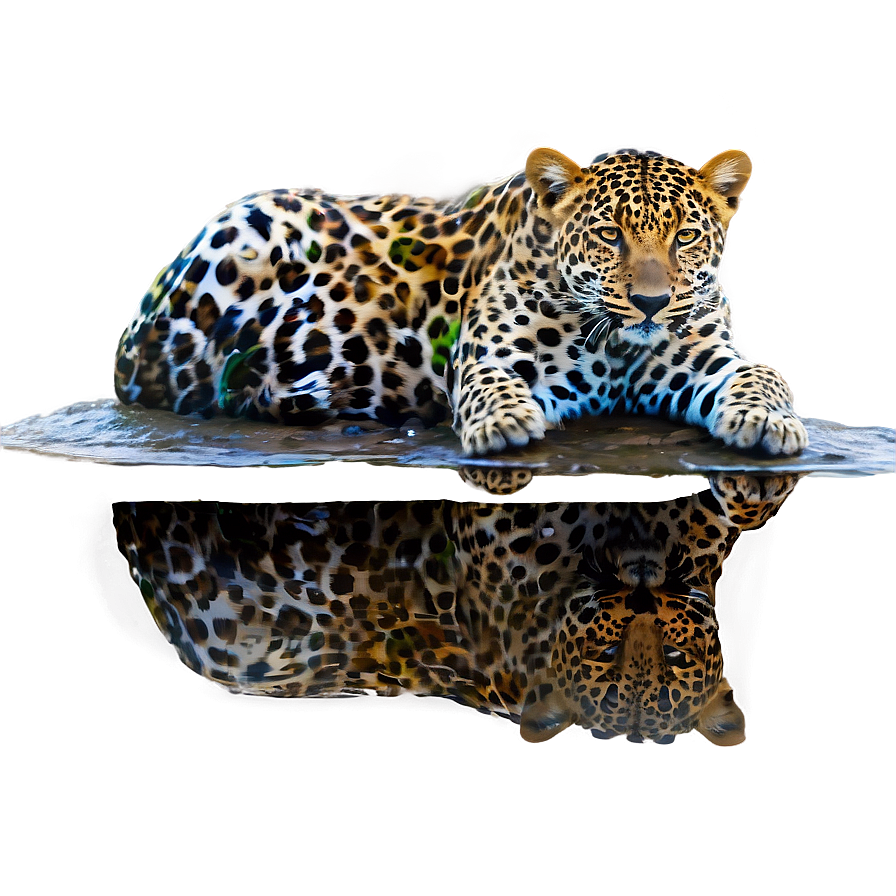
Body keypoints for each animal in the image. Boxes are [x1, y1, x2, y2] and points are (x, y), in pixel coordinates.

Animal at [113, 145, 807, 457]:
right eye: (609, 234)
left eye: (684, 236)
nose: (652, 303)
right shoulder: (485, 355)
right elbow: (490, 384)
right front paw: (504, 424)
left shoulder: (701, 361)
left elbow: (763, 373)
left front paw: (767, 421)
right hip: (248, 229)